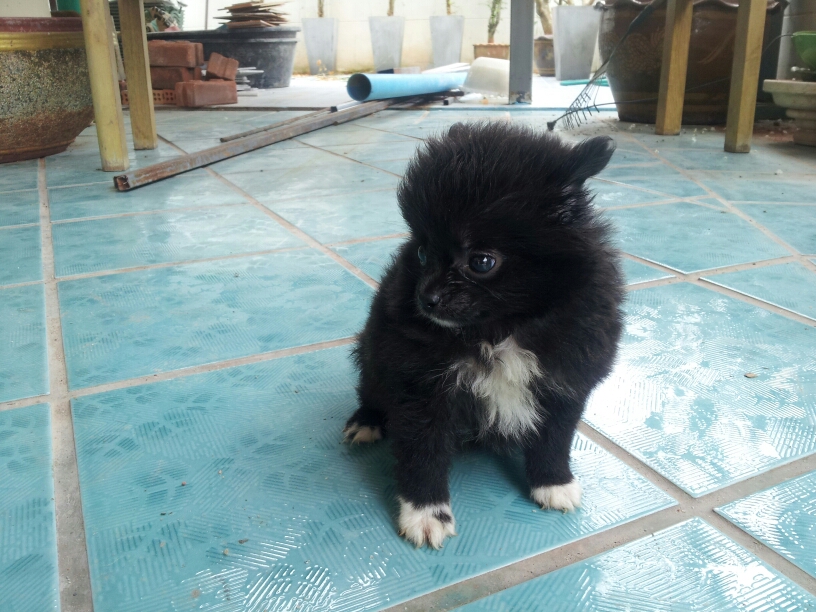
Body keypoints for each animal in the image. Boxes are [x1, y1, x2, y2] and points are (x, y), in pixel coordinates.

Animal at [343, 122, 624, 549]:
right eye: (422, 253)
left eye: (481, 262)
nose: (425, 299)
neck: (500, 331)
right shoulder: (420, 386)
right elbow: (423, 452)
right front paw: (426, 513)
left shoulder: (567, 380)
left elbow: (555, 437)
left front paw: (553, 483)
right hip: (375, 353)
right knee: (371, 390)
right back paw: (367, 421)